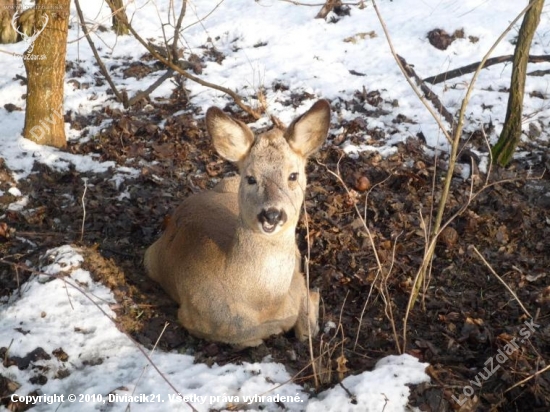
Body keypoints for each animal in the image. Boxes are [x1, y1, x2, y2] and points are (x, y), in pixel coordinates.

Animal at [143, 100, 332, 348]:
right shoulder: (191, 316)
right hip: (149, 259)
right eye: (251, 178)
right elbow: (253, 338)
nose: (272, 214)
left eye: (293, 175)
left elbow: (305, 329)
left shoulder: (297, 280)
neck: (263, 303)